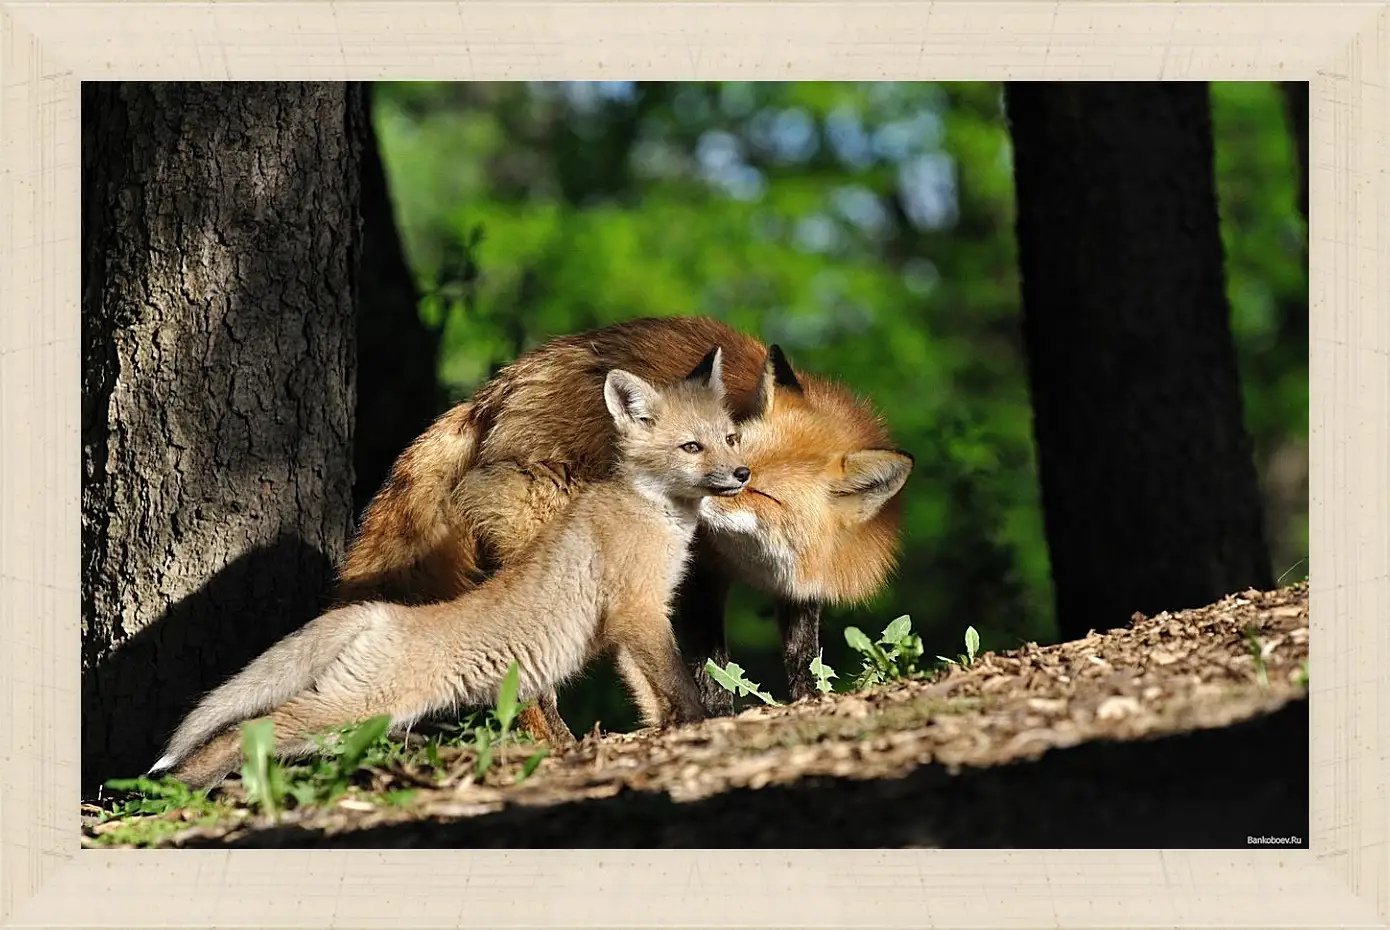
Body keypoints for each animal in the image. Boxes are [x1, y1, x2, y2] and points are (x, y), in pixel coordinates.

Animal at [329, 315, 906, 745]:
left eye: (763, 492)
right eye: (733, 451)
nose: (704, 495)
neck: (760, 563)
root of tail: (496, 389)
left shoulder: (801, 587)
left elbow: (803, 654)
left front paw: (810, 700)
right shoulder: (699, 575)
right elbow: (710, 666)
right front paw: (720, 716)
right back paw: (559, 742)